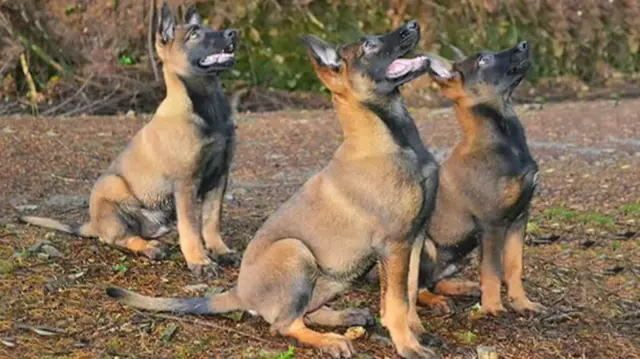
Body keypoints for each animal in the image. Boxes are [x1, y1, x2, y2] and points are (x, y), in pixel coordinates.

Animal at [21, 0, 240, 278]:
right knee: (119, 238)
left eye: (211, 28)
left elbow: (211, 221)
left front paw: (219, 250)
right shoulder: (186, 184)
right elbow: (191, 227)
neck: (204, 106)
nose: (234, 33)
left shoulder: (220, 176)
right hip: (111, 188)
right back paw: (149, 248)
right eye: (194, 34)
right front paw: (199, 261)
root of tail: (92, 223)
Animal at [107, 21, 442, 359]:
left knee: (305, 311)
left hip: (333, 276)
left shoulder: (415, 237)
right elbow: (396, 302)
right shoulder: (395, 243)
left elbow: (410, 290)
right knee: (283, 324)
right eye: (369, 45)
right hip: (295, 251)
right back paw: (330, 340)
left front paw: (417, 331)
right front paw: (408, 345)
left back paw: (345, 317)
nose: (413, 25)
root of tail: (240, 292)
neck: (390, 139)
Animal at [418, 41, 548, 318]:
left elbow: (514, 267)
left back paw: (462, 287)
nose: (524, 44)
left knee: (436, 281)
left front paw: (522, 303)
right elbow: (492, 270)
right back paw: (437, 301)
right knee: (417, 286)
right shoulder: (492, 223)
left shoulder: (519, 218)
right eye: (484, 60)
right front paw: (493, 308)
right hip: (426, 247)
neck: (503, 141)